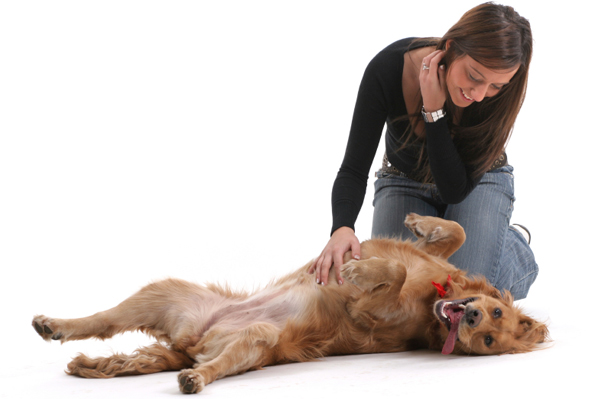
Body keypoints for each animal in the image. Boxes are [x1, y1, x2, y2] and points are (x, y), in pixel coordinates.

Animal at [31, 214, 548, 396]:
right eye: (495, 314)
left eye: (487, 340)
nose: (474, 316)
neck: (436, 298)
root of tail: (191, 342)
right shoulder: (423, 256)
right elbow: (453, 231)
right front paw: (421, 221)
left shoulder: (369, 314)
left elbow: (391, 276)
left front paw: (359, 273)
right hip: (163, 290)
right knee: (100, 320)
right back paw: (55, 326)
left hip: (256, 339)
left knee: (215, 364)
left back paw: (194, 377)